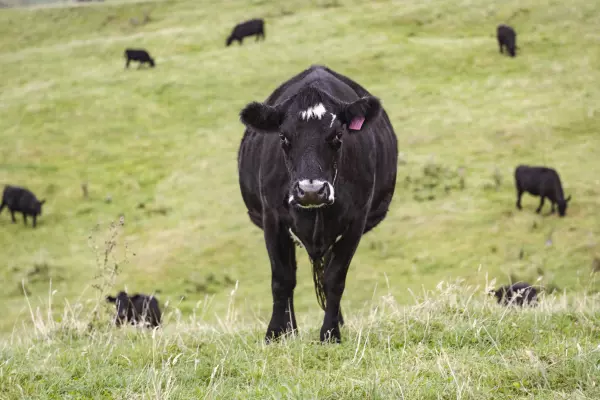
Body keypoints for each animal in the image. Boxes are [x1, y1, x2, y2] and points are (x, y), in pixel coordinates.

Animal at [238, 65, 398, 344]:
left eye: (337, 135)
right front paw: (276, 334)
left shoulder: (356, 221)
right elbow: (282, 278)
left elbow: (334, 279)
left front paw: (331, 333)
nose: (311, 191)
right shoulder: (272, 218)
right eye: (283, 137)